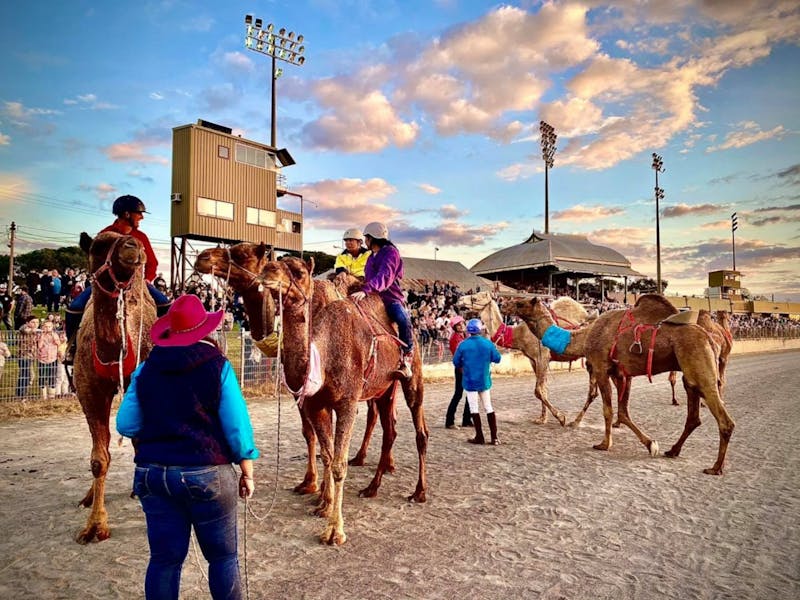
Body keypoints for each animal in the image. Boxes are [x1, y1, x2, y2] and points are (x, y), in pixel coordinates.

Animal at [74, 231, 157, 544]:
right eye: (98, 246)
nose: (133, 247)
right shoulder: (89, 390)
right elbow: (99, 458)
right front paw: (95, 525)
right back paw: (88, 497)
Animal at [260, 255, 428, 548]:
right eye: (276, 261)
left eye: (300, 272)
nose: (267, 271)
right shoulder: (316, 404)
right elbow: (327, 455)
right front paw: (323, 505)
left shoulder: (347, 402)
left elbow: (339, 464)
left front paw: (334, 531)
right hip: (384, 389)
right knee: (390, 430)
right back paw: (371, 488)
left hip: (412, 377)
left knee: (419, 431)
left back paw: (419, 492)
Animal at [456, 292, 592, 426]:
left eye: (475, 298)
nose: (459, 300)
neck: (519, 334)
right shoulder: (533, 360)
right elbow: (543, 389)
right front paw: (542, 419)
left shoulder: (542, 357)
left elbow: (538, 390)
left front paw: (560, 417)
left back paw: (576, 421)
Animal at [510, 294, 736, 474]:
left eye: (520, 303)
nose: (505, 304)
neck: (585, 336)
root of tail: (709, 337)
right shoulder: (621, 374)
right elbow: (623, 413)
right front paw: (651, 444)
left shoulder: (601, 368)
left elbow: (608, 410)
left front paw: (604, 444)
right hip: (690, 375)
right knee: (693, 416)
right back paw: (673, 450)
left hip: (699, 363)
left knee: (724, 419)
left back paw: (716, 467)